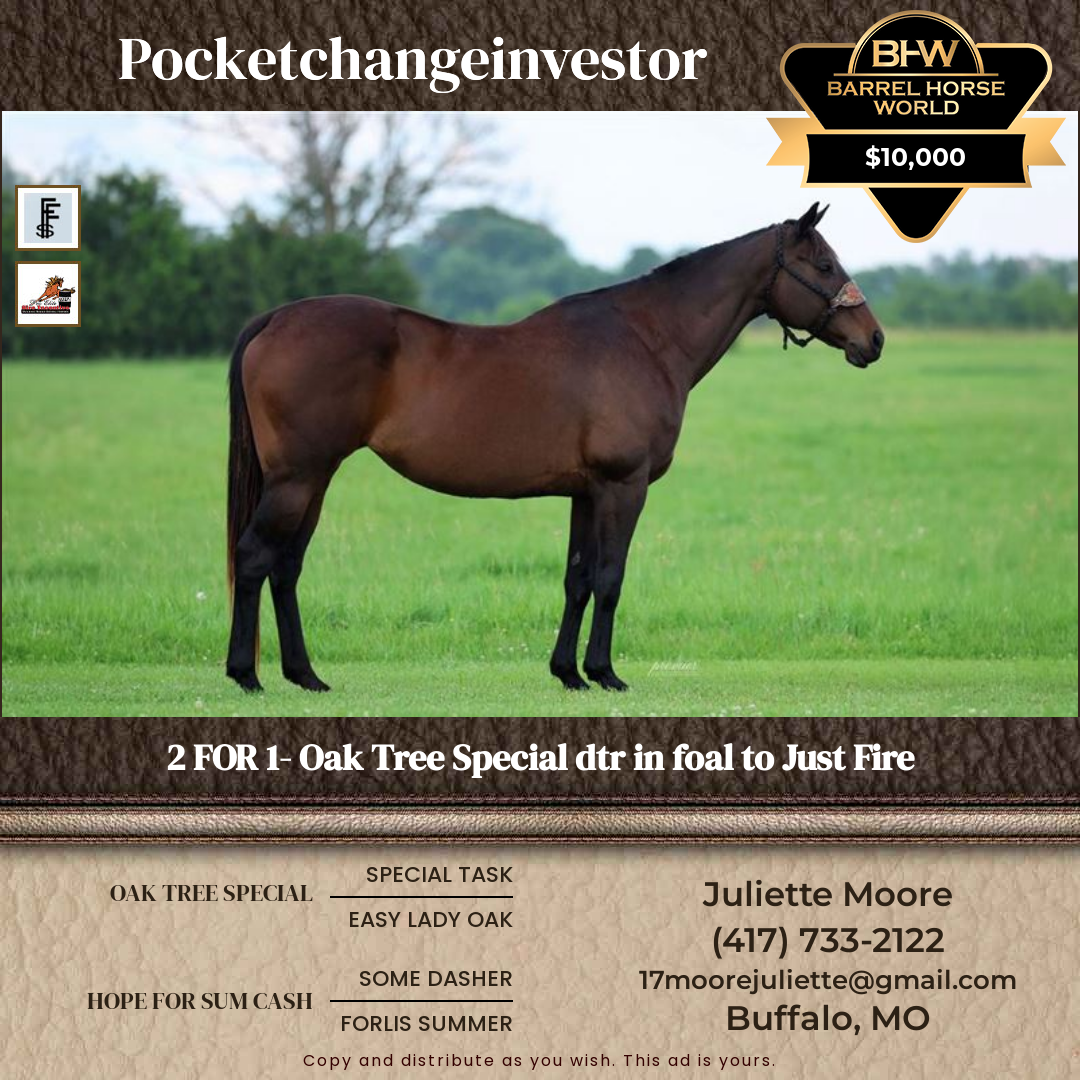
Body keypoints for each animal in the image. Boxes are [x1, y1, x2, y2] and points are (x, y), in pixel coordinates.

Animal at [225, 202, 884, 693]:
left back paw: (305, 676)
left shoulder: (585, 492)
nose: (873, 340)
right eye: (824, 264)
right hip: (298, 478)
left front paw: (568, 673)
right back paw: (246, 676)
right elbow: (611, 577)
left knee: (286, 565)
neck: (647, 340)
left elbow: (578, 578)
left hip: (314, 479)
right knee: (255, 556)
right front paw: (605, 673)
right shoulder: (623, 485)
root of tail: (276, 319)